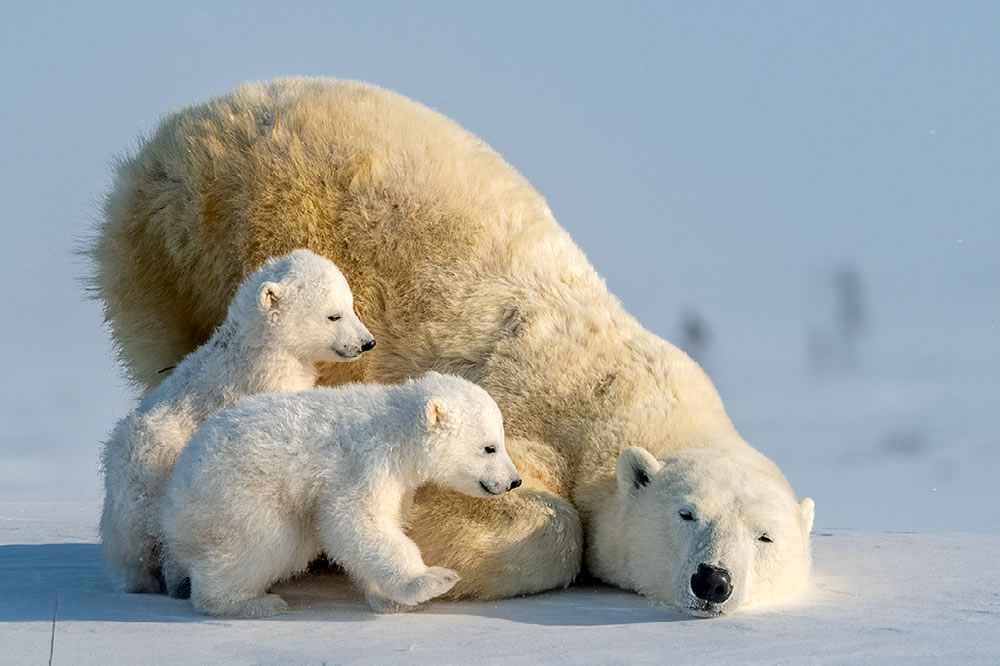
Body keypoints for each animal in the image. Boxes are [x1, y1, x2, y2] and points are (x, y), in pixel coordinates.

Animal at [98, 249, 376, 592]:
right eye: (333, 315)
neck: (259, 348)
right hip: (152, 470)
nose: (367, 342)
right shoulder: (264, 382)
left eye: (350, 306)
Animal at [159, 370, 520, 616]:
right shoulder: (366, 463)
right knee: (264, 542)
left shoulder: (398, 482)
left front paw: (387, 600)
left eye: (500, 441)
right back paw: (253, 602)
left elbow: (378, 526)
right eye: (489, 447)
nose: (514, 481)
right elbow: (354, 520)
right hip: (240, 493)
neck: (397, 428)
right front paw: (431, 580)